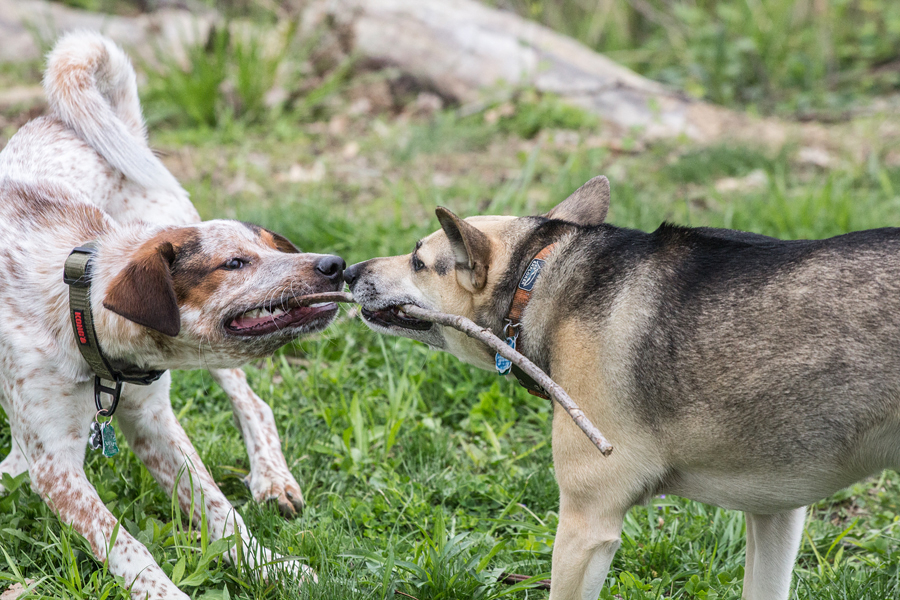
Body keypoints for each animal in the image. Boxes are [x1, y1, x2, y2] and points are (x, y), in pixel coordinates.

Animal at [0, 31, 348, 596]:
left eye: (270, 247)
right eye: (234, 262)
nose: (336, 265)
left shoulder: (154, 422)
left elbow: (222, 513)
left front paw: (275, 568)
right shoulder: (56, 465)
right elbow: (128, 547)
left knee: (254, 403)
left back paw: (272, 479)